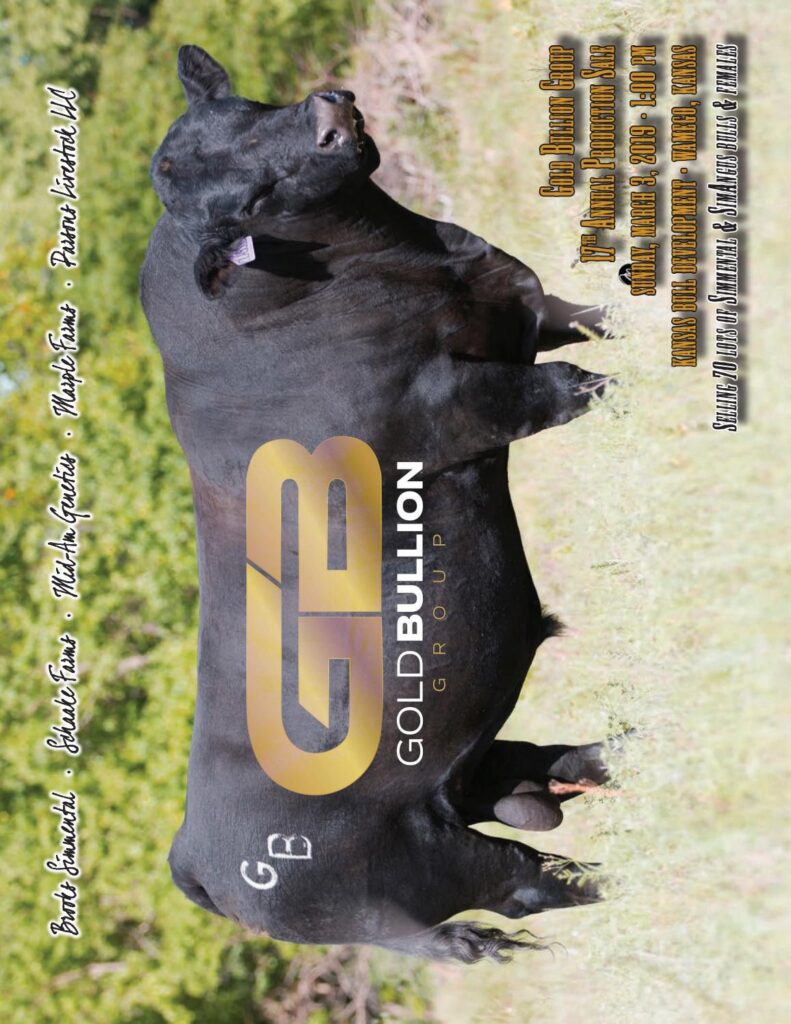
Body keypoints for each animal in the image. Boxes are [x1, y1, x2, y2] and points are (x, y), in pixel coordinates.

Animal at [140, 44, 620, 964]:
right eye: (250, 204)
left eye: (251, 113)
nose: (329, 112)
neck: (425, 258)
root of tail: (192, 858)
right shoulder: (470, 398)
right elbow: (586, 383)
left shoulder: (528, 307)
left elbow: (600, 317)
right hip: (438, 866)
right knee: (541, 883)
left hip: (467, 774)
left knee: (553, 769)